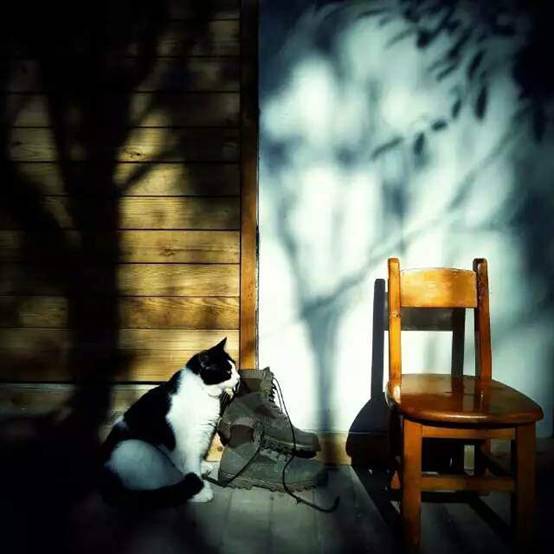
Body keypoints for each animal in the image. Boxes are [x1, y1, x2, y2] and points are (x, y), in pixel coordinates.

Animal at [100, 337, 239, 507]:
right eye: (227, 372)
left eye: (234, 367)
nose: (238, 378)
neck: (202, 392)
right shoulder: (186, 442)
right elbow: (190, 465)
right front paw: (199, 483)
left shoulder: (202, 435)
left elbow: (195, 460)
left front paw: (201, 466)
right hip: (136, 448)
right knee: (159, 491)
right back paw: (200, 492)